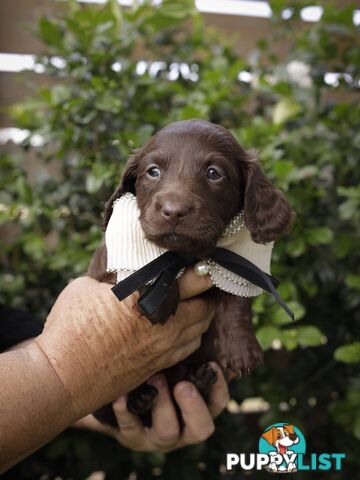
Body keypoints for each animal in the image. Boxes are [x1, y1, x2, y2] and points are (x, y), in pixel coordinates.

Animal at [88, 118, 294, 426]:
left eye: (213, 173)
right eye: (153, 171)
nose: (174, 211)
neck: (187, 255)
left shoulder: (235, 265)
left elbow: (234, 299)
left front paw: (241, 348)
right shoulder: (109, 268)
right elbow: (147, 265)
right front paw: (161, 297)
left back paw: (200, 379)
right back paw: (140, 399)